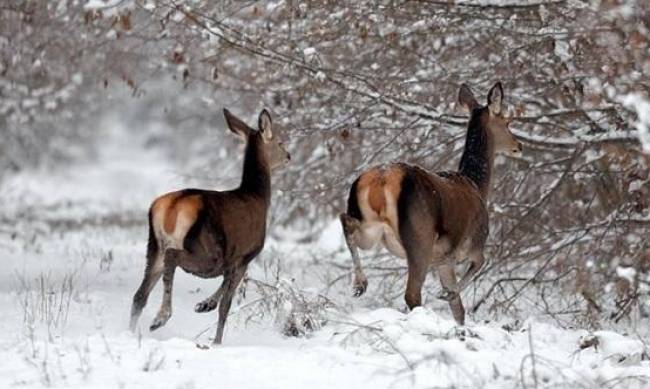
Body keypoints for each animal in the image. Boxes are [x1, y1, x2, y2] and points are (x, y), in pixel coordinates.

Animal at [129, 106, 288, 342]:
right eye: (279, 142)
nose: (289, 156)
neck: (258, 197)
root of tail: (173, 205)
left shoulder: (233, 260)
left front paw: (205, 306)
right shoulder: (245, 255)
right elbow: (225, 304)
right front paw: (215, 333)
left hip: (154, 245)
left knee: (140, 294)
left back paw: (130, 331)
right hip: (205, 248)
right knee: (173, 258)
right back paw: (161, 317)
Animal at [340, 81, 520, 324]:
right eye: (507, 122)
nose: (518, 145)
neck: (477, 185)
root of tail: (382, 179)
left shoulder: (443, 260)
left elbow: (459, 309)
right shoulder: (470, 245)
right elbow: (477, 268)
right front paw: (446, 294)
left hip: (371, 228)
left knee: (346, 222)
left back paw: (360, 284)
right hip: (420, 237)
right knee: (412, 294)